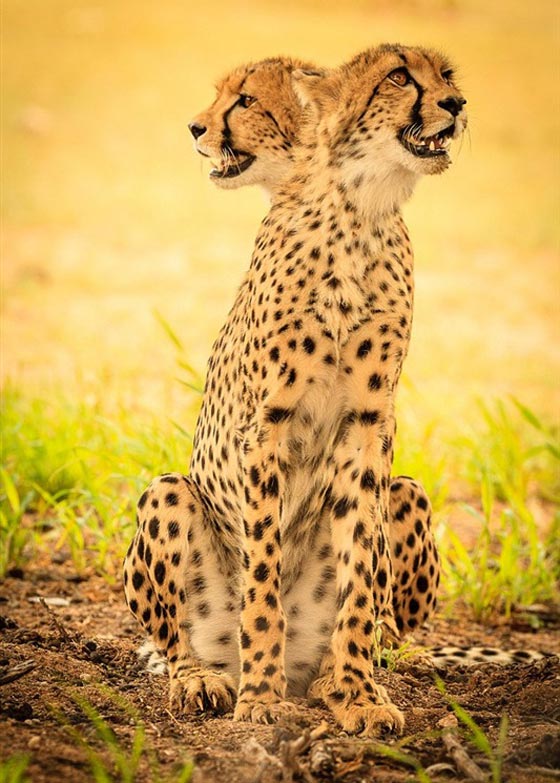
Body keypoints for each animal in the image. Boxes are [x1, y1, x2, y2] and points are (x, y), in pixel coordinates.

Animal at [124, 42, 469, 736]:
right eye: (399, 77)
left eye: (445, 77)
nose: (456, 103)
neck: (358, 212)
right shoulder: (267, 424)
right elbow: (262, 575)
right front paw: (260, 698)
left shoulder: (367, 424)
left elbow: (362, 572)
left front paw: (360, 696)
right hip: (170, 495)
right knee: (175, 641)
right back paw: (206, 680)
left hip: (407, 491)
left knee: (384, 613)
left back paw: (341, 677)